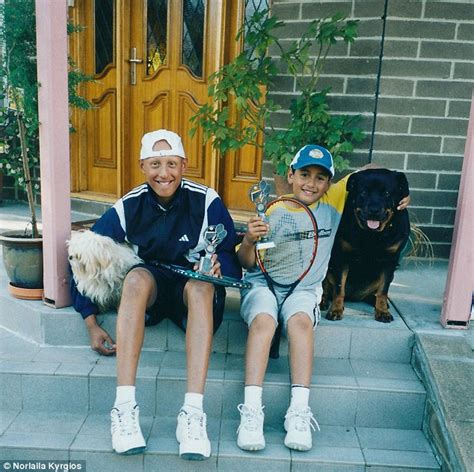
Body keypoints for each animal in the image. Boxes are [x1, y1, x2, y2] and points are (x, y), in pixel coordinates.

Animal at [324, 171, 410, 324]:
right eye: (364, 193)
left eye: (387, 193)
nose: (374, 210)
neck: (372, 235)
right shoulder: (342, 257)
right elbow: (339, 288)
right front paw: (336, 310)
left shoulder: (390, 261)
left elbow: (383, 290)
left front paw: (382, 311)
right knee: (327, 288)